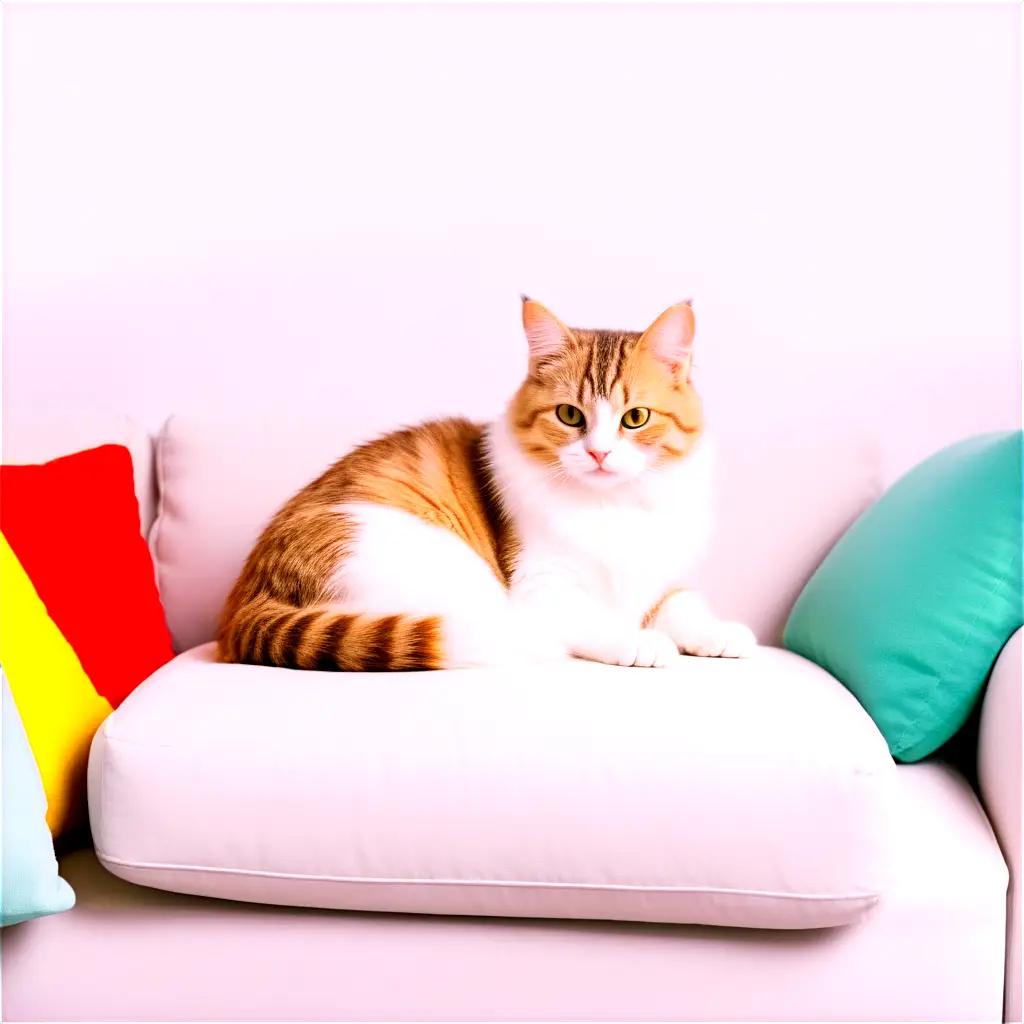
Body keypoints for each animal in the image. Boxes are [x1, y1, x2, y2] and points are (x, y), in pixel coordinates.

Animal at [216, 296, 757, 671]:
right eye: (570, 415)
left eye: (636, 418)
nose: (599, 453)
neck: (613, 505)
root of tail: (245, 604)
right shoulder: (541, 587)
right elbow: (599, 618)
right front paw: (639, 640)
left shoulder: (657, 579)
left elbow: (681, 602)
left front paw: (718, 633)